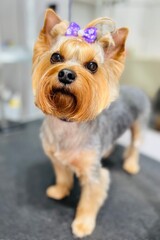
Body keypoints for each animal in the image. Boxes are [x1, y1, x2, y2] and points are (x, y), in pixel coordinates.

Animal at [32, 8, 150, 238]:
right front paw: (59, 191)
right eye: (56, 57)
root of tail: (137, 89)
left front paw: (83, 224)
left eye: (92, 66)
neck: (66, 122)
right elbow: (63, 177)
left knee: (135, 146)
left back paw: (131, 165)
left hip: (139, 124)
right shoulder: (58, 160)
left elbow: (89, 200)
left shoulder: (94, 175)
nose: (66, 73)